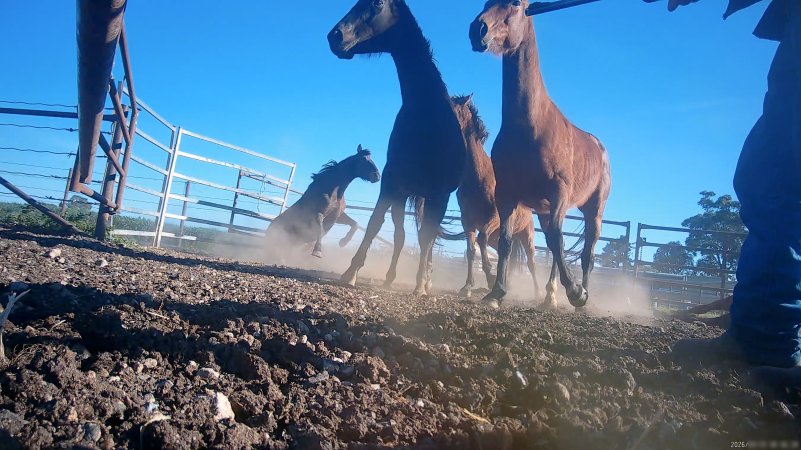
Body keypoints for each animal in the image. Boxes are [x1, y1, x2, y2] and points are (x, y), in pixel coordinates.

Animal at [328, 0, 467, 296]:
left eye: (377, 3)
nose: (335, 36)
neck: (426, 118)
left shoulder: (439, 195)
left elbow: (425, 239)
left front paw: (420, 286)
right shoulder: (391, 184)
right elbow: (375, 225)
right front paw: (350, 272)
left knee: (425, 238)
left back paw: (423, 279)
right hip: (403, 197)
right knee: (401, 236)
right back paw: (391, 277)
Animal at [451, 94, 541, 300]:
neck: (478, 177)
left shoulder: (495, 217)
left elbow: (481, 239)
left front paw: (490, 277)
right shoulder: (466, 220)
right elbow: (471, 250)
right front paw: (468, 286)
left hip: (527, 236)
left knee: (531, 263)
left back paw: (539, 294)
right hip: (500, 236)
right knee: (504, 253)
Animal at [470, 0, 611, 310]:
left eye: (516, 5)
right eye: (486, 3)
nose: (478, 29)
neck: (530, 125)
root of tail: (600, 148)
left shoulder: (558, 193)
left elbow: (558, 242)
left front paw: (576, 292)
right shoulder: (507, 195)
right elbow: (506, 242)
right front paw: (496, 292)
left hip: (593, 210)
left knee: (587, 252)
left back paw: (581, 293)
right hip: (546, 211)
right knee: (555, 248)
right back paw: (549, 295)